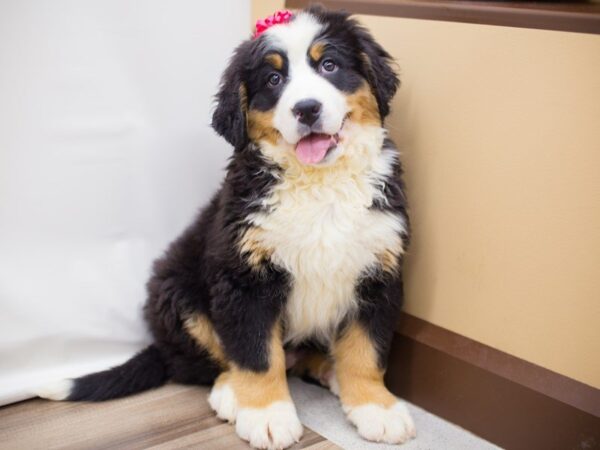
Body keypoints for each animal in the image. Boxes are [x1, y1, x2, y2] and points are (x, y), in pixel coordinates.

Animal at [36, 5, 412, 448]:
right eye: (273, 79)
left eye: (329, 65)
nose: (306, 109)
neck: (319, 182)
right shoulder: (242, 278)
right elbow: (257, 354)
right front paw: (267, 414)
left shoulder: (378, 270)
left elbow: (367, 351)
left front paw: (375, 407)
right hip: (177, 293)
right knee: (204, 362)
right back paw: (232, 393)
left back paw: (327, 368)